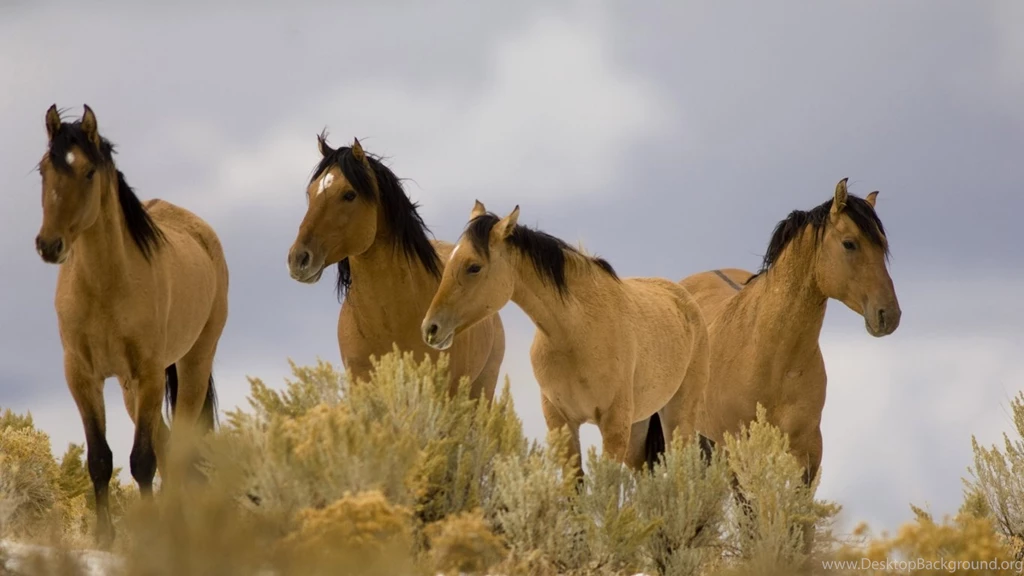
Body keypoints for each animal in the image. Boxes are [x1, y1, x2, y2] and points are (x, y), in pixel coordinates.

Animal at [33, 104, 228, 547]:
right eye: (43, 169)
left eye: (88, 171)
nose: (49, 245)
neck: (106, 285)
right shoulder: (82, 376)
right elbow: (100, 458)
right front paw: (105, 537)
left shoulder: (150, 372)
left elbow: (142, 461)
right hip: (128, 387)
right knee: (166, 443)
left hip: (191, 365)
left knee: (179, 450)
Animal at [421, 200, 710, 476]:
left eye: (474, 267)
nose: (431, 328)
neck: (576, 333)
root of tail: (687, 301)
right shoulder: (561, 421)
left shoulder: (613, 424)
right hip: (639, 426)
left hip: (677, 417)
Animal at [678, 177, 900, 555]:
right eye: (850, 243)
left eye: (883, 245)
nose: (889, 315)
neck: (770, 357)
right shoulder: (738, 452)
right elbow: (753, 529)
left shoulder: (808, 449)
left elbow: (800, 526)